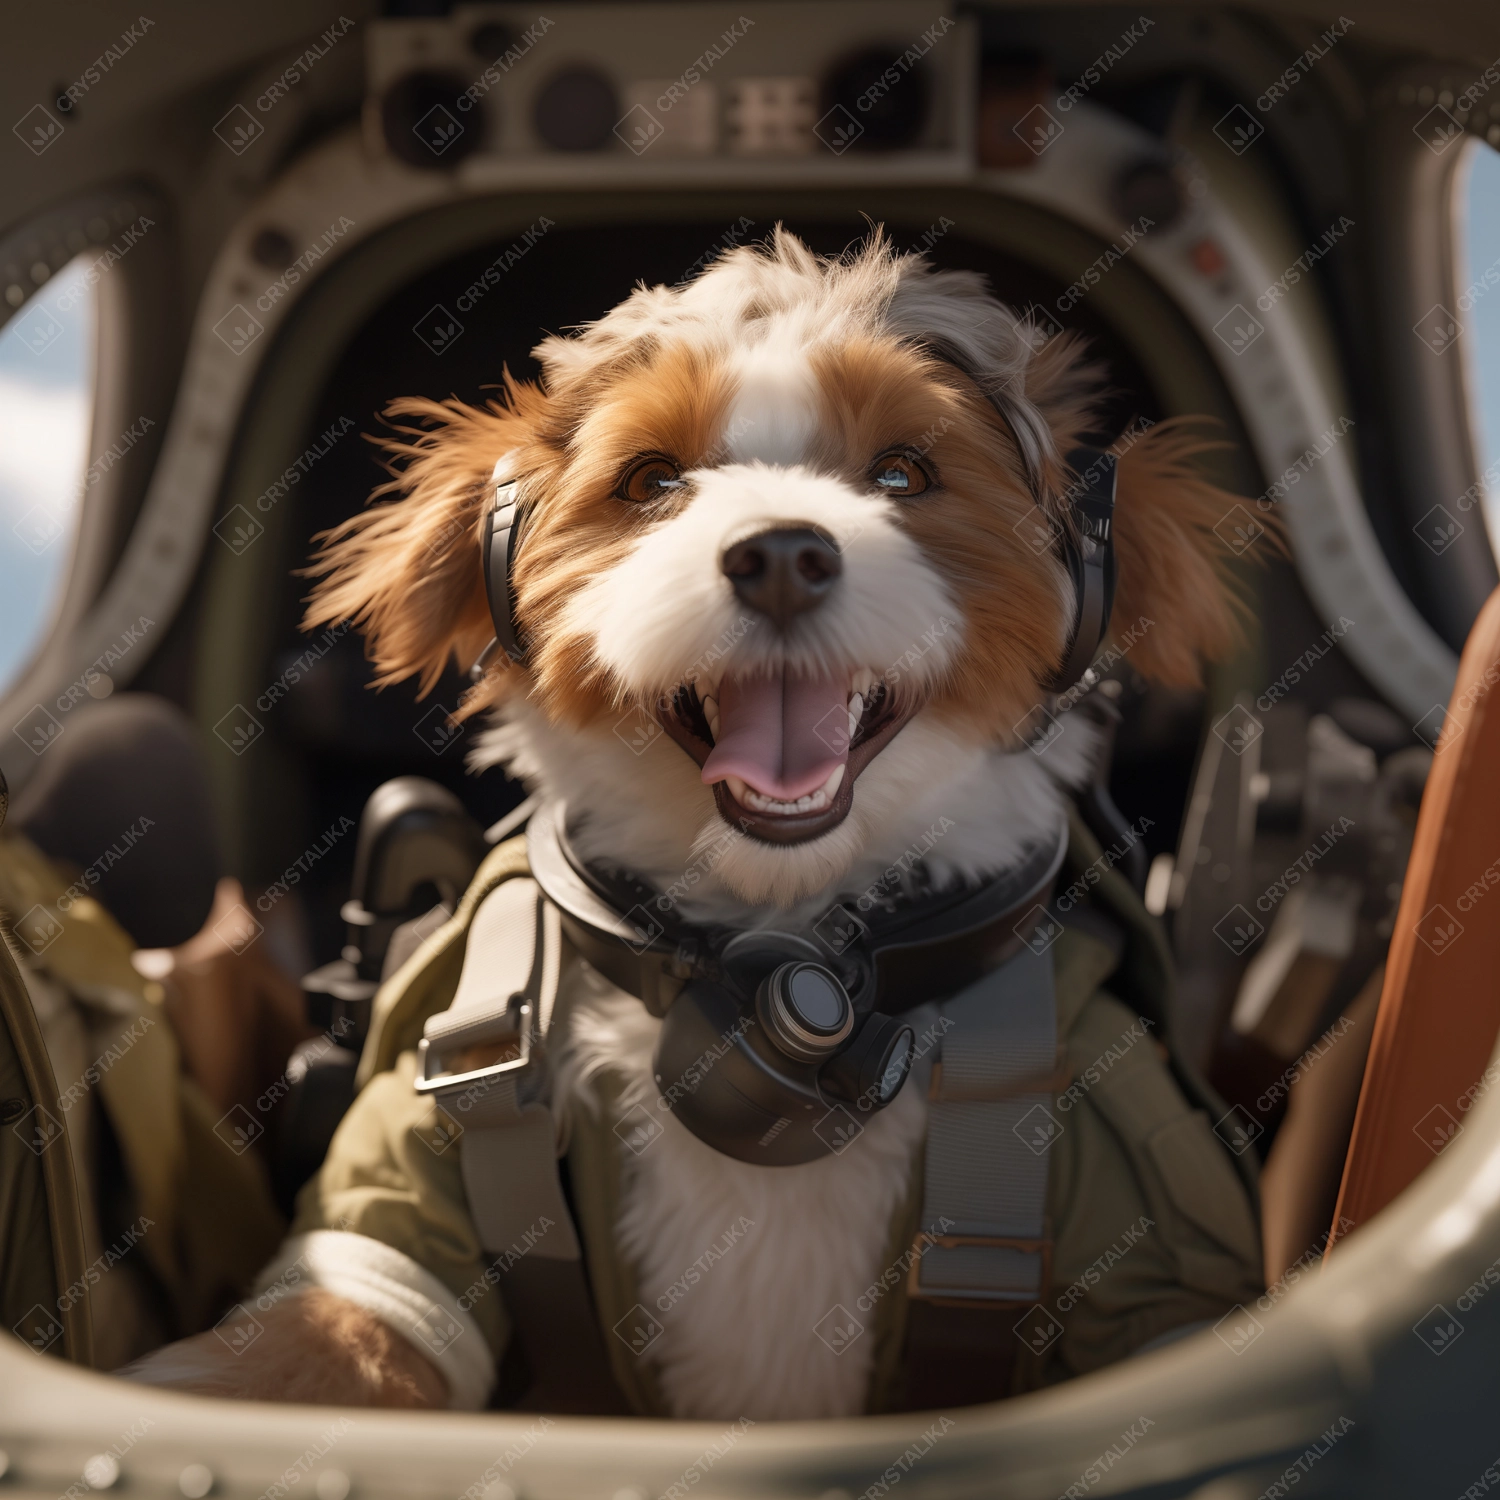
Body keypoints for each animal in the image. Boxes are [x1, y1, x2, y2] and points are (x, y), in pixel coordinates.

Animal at [126, 228, 1254, 1410]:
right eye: (652, 481)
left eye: (904, 472)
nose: (782, 554)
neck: (775, 951)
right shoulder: (395, 1185)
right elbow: (321, 1335)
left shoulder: (1137, 1165)